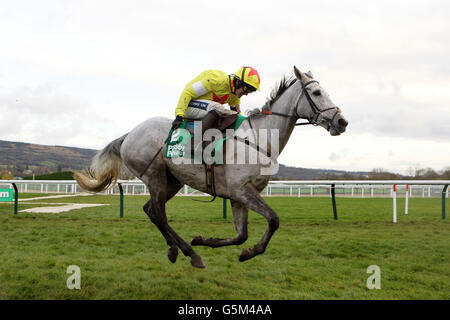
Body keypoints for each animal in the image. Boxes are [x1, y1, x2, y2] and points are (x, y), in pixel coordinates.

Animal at [74, 67, 348, 268]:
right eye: (316, 92)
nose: (342, 121)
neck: (258, 138)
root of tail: (130, 134)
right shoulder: (241, 190)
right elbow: (273, 219)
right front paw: (251, 252)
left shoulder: (238, 196)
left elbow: (241, 235)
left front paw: (208, 241)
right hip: (154, 175)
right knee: (159, 214)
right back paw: (186, 253)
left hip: (173, 180)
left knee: (151, 210)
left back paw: (182, 249)